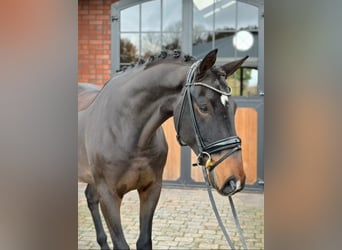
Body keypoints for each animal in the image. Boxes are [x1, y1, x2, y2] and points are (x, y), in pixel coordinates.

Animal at [79, 48, 247, 248]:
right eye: (203, 107)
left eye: (235, 107)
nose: (234, 180)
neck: (126, 130)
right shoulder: (109, 196)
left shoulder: (151, 189)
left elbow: (144, 241)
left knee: (90, 198)